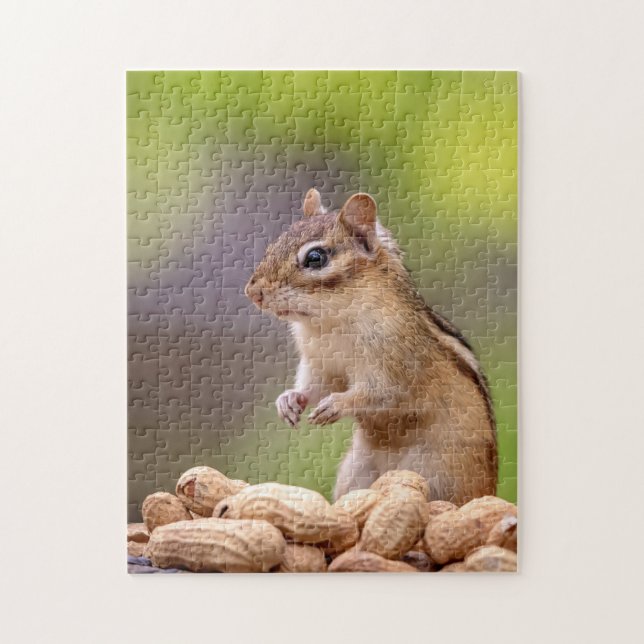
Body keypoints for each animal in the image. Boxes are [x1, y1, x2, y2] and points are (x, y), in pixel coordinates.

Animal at [245, 189, 497, 504]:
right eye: (274, 243)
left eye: (315, 258)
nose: (253, 292)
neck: (329, 322)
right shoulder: (321, 364)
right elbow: (316, 386)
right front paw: (289, 400)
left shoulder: (396, 366)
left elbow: (383, 394)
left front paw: (337, 404)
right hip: (356, 472)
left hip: (438, 474)